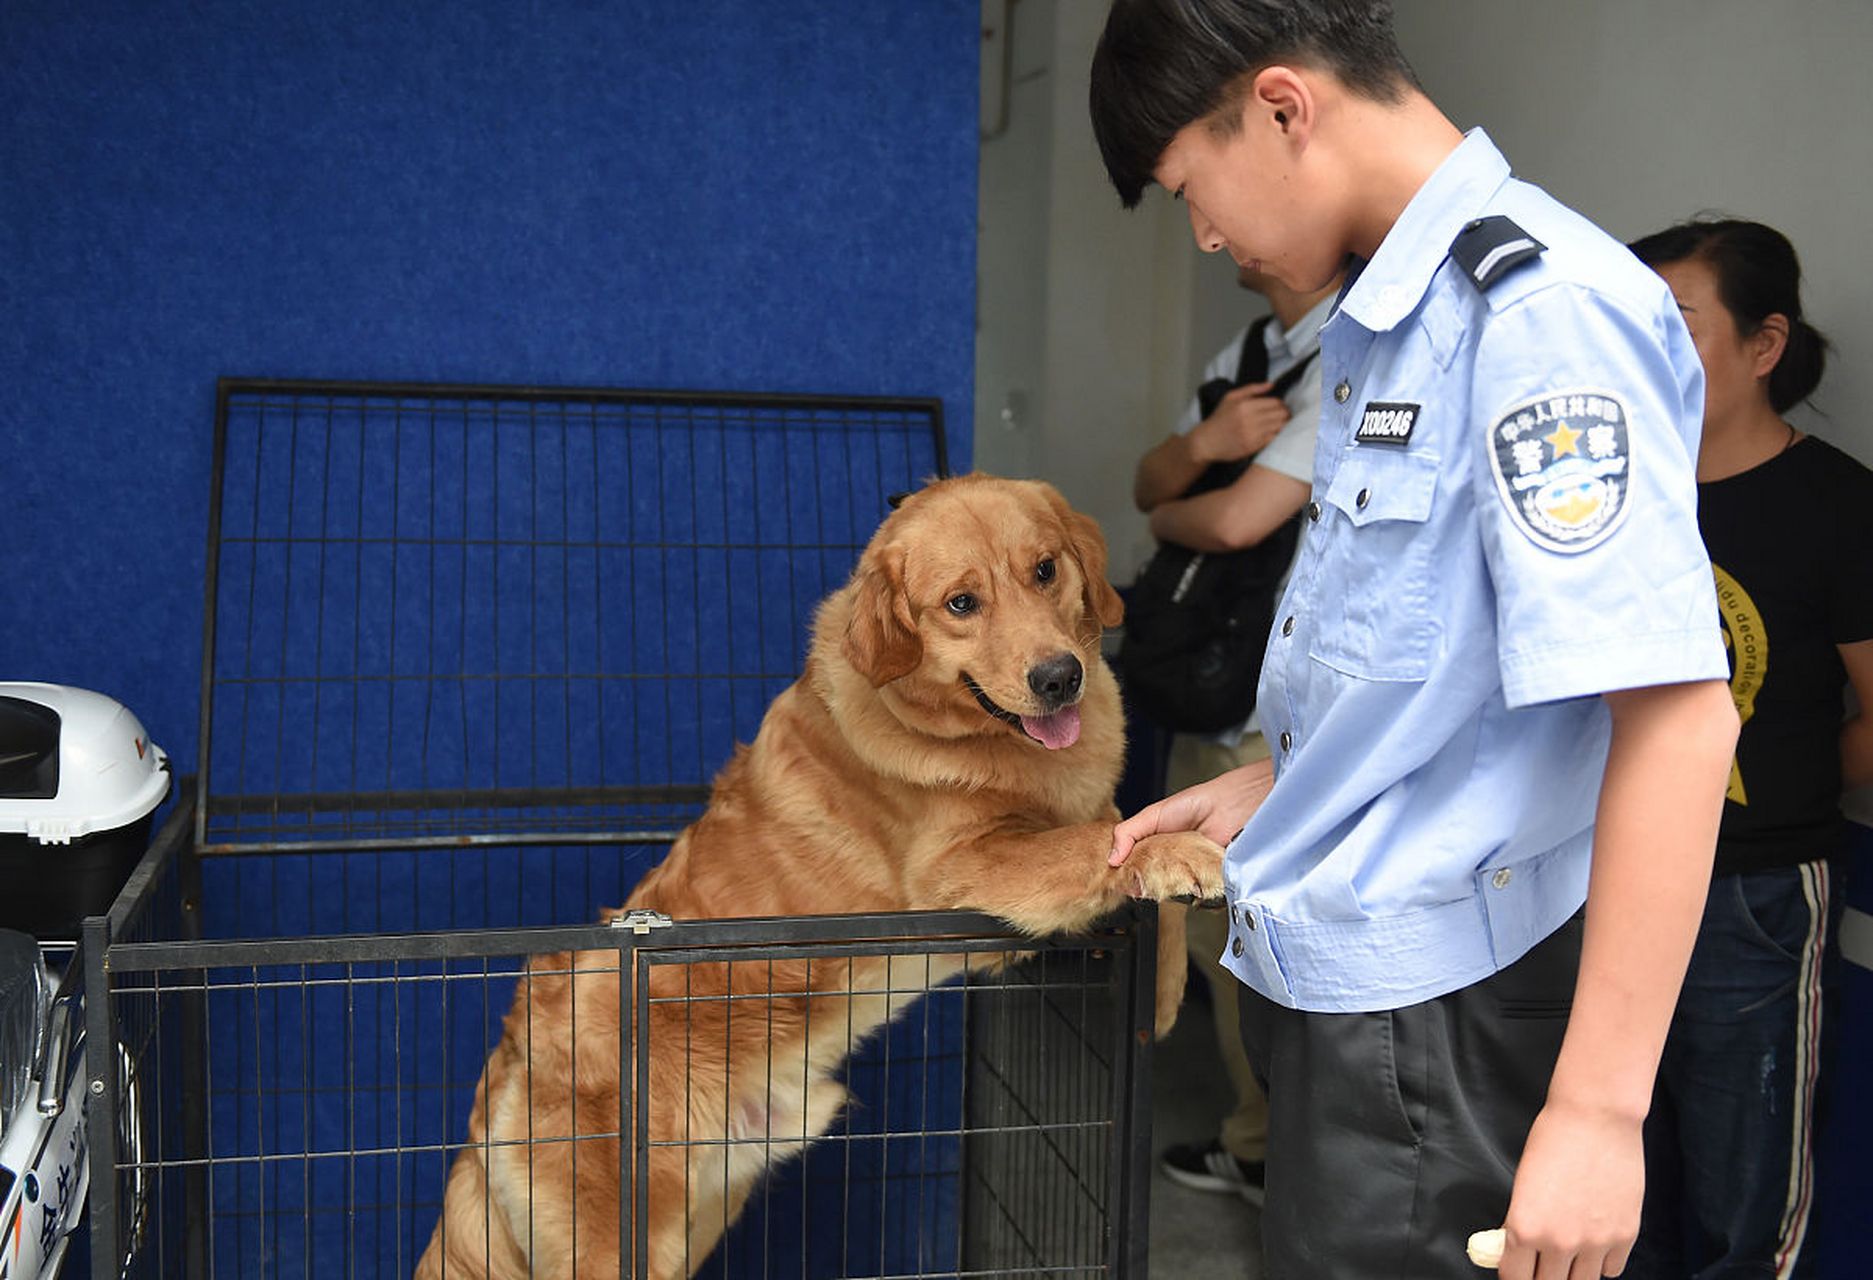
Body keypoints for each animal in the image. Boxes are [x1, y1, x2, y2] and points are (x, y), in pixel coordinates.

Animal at [415, 476, 1221, 1280]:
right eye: (961, 603)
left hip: (697, 1218)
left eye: (1046, 570)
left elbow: (1129, 826)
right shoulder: (963, 869)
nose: (1059, 678)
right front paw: (1188, 855)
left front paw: (1164, 987)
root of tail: (506, 1067)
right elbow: (1101, 840)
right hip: (620, 1241)